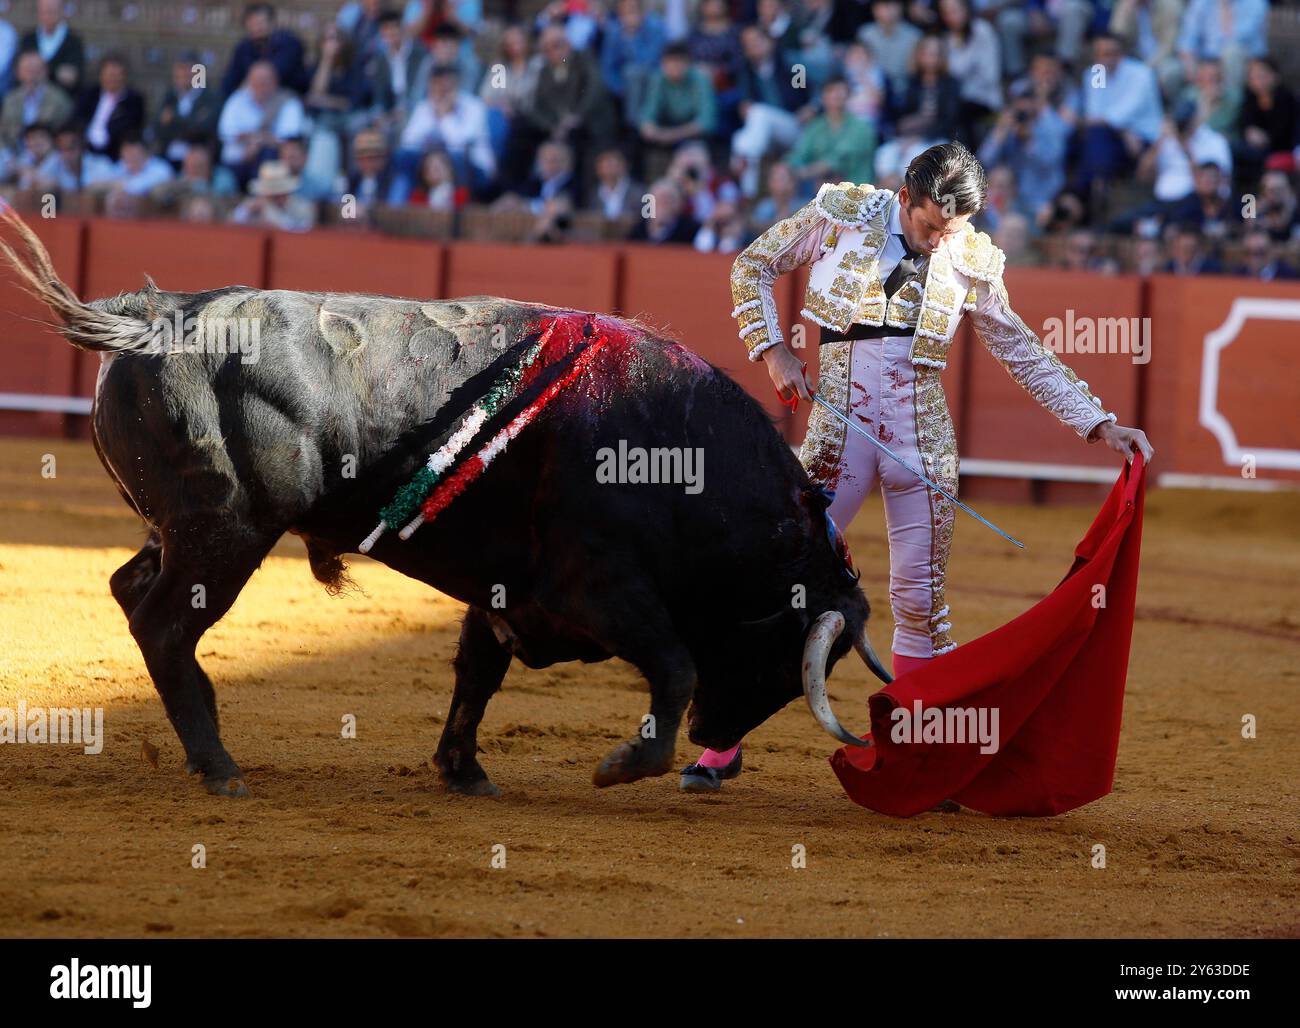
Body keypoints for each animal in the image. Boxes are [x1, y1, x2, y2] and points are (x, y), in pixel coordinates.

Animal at [0, 213, 889, 800]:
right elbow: (674, 664)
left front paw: (463, 772)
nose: (714, 739)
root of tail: (148, 321)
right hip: (224, 533)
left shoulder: (509, 592)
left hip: (186, 530)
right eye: (785, 655)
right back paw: (220, 768)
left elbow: (476, 676)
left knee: (132, 593)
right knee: (163, 626)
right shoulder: (595, 585)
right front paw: (623, 767)